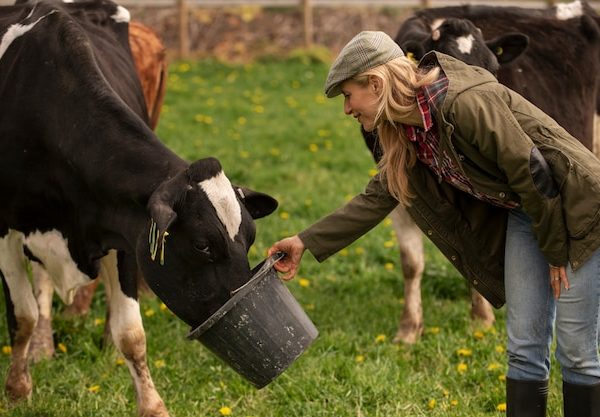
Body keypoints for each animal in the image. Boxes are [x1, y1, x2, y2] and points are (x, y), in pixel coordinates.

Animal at [0, 1, 276, 414]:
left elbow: (131, 333)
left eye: (251, 238)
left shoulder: (126, 230)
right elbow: (23, 316)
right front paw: (18, 389)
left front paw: (153, 405)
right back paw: (42, 348)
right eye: (202, 245)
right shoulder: (5, 229)